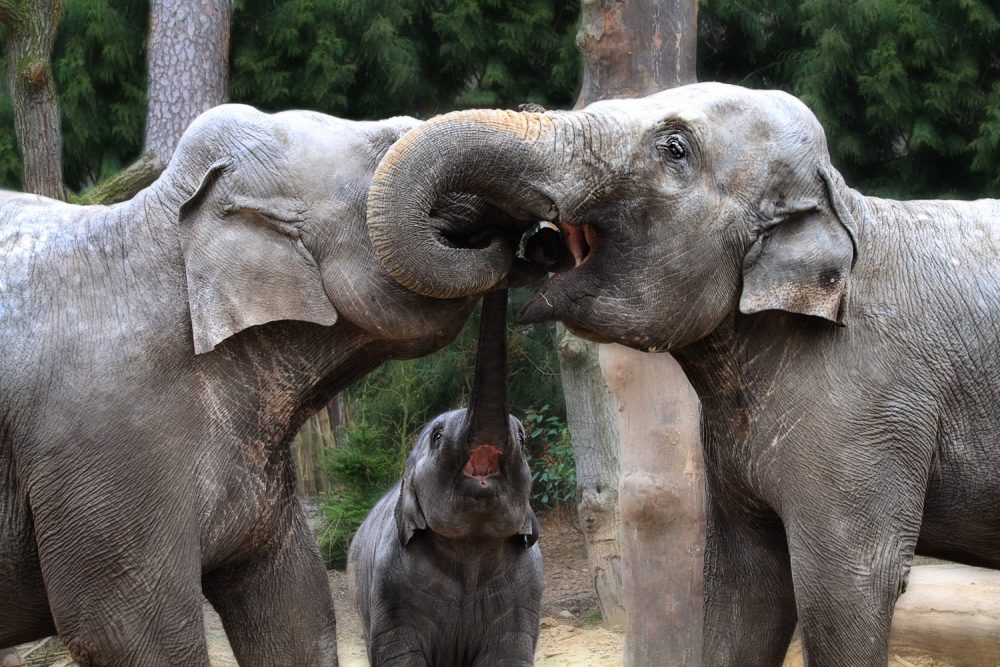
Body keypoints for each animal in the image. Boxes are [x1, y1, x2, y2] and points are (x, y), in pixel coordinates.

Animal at [348, 289, 542, 667]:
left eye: (523, 438)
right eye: (437, 436)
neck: (471, 550)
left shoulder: (526, 588)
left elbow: (507, 655)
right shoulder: (391, 585)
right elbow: (400, 655)